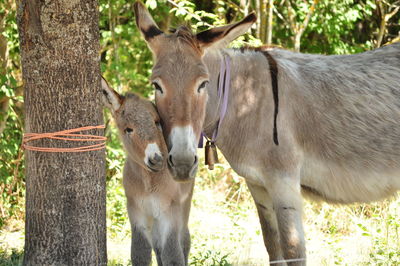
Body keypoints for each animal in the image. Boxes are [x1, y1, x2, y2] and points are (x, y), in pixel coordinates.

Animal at [101, 78, 193, 264]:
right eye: (128, 129)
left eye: (157, 122)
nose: (156, 159)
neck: (149, 182)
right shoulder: (137, 214)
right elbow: (140, 254)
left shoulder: (169, 214)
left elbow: (173, 255)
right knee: (158, 247)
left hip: (183, 206)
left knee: (184, 240)